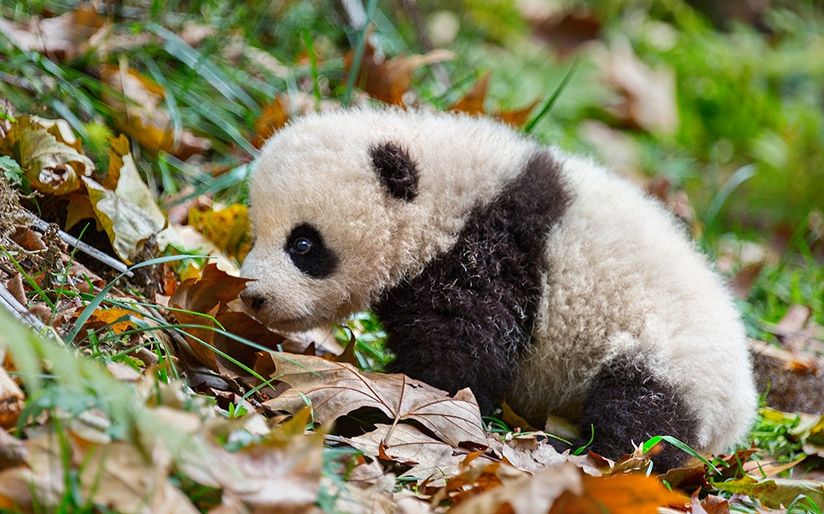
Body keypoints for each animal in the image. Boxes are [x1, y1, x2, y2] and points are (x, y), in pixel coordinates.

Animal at [239, 107, 757, 470]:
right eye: (255, 233)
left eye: (303, 243)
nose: (253, 296)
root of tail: (740, 410)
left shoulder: (496, 254)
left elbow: (464, 354)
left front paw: (406, 392)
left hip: (673, 357)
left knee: (645, 419)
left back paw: (588, 451)